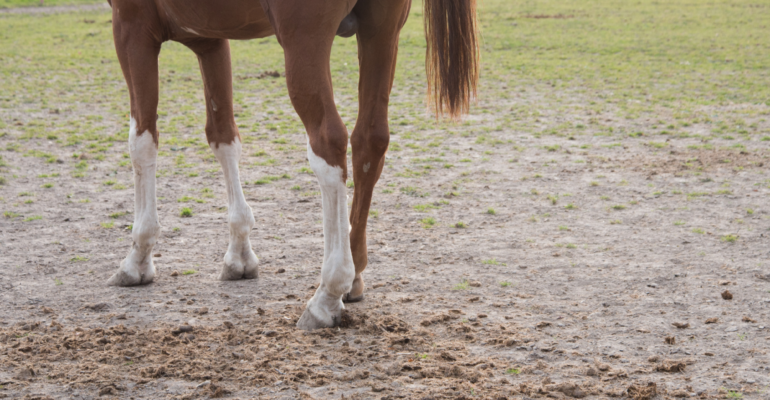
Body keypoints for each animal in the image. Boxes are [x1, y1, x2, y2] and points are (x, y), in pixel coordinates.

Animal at [105, 0, 476, 332]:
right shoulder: (210, 38)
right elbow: (223, 137)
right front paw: (240, 253)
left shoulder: (132, 27)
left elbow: (142, 141)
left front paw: (138, 258)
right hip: (381, 33)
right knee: (370, 141)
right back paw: (353, 275)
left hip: (305, 43)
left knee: (329, 143)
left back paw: (328, 293)